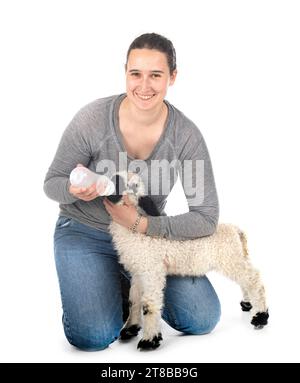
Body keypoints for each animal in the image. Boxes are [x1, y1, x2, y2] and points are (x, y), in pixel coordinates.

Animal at [107, 173, 270, 352]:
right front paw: (130, 329)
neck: (135, 234)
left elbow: (149, 304)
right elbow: (133, 300)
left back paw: (261, 316)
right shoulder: (137, 272)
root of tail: (235, 229)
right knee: (246, 279)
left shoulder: (152, 271)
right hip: (236, 256)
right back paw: (248, 303)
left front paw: (149, 340)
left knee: (253, 279)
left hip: (229, 258)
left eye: (134, 184)